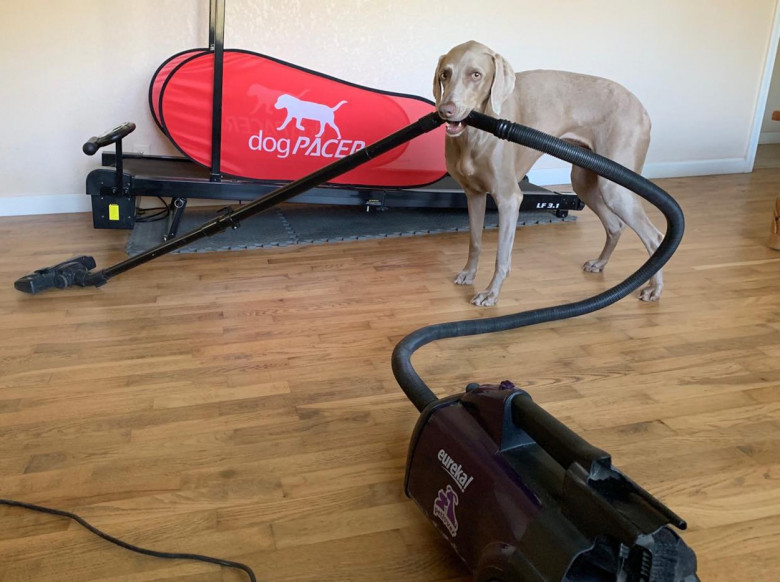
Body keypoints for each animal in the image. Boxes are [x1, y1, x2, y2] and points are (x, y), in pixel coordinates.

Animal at [432, 40, 664, 306]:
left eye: (476, 75)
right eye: (444, 74)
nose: (446, 110)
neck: (474, 135)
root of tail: (642, 108)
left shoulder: (509, 198)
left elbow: (502, 255)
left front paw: (491, 293)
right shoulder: (474, 195)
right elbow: (475, 241)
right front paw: (469, 274)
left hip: (615, 188)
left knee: (654, 237)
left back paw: (654, 289)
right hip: (584, 182)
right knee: (615, 225)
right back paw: (600, 263)